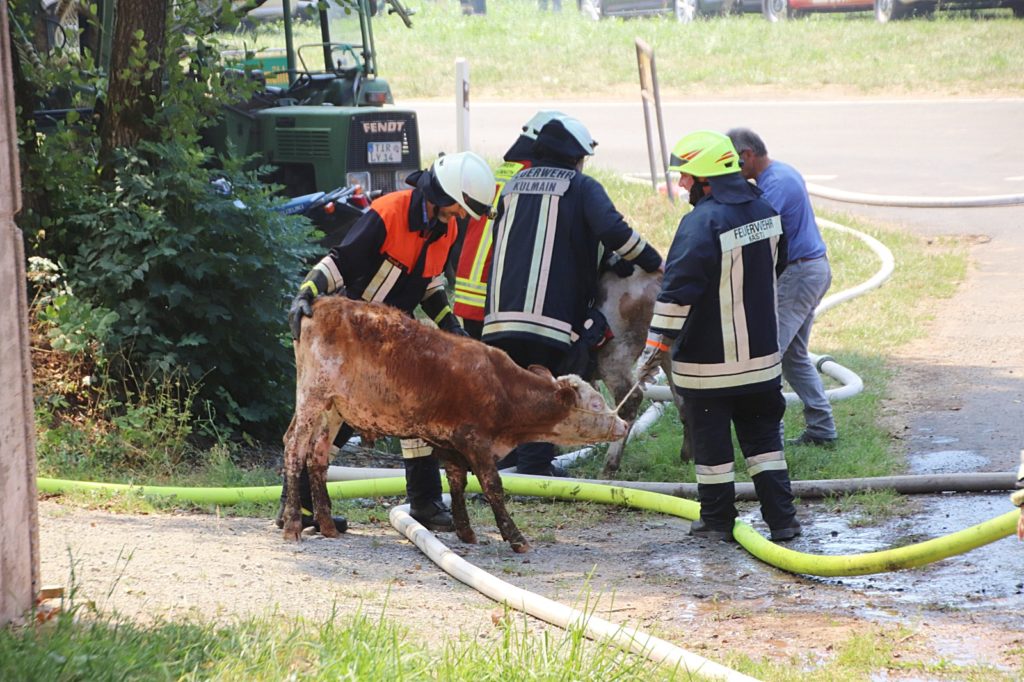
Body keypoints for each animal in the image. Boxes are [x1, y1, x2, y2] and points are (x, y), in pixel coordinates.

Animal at [284, 294, 626, 548]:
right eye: (596, 402)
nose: (622, 425)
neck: (502, 386)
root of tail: (321, 303)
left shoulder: (449, 442)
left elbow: (457, 482)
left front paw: (466, 531)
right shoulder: (475, 440)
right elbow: (492, 485)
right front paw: (515, 538)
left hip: (333, 409)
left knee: (318, 456)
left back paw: (327, 524)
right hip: (312, 396)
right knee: (294, 448)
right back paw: (292, 524)